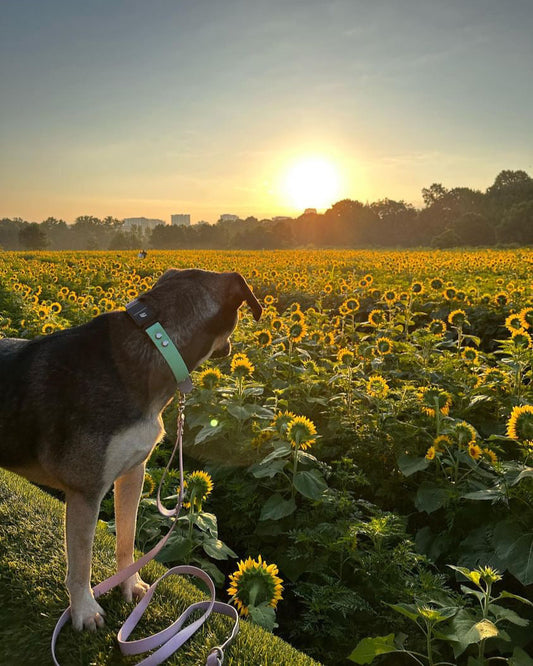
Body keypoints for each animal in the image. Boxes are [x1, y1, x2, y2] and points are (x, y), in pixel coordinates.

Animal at [0, 266, 262, 628]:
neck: (158, 343)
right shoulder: (86, 490)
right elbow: (81, 560)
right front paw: (84, 610)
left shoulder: (133, 473)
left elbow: (127, 537)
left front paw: (129, 583)